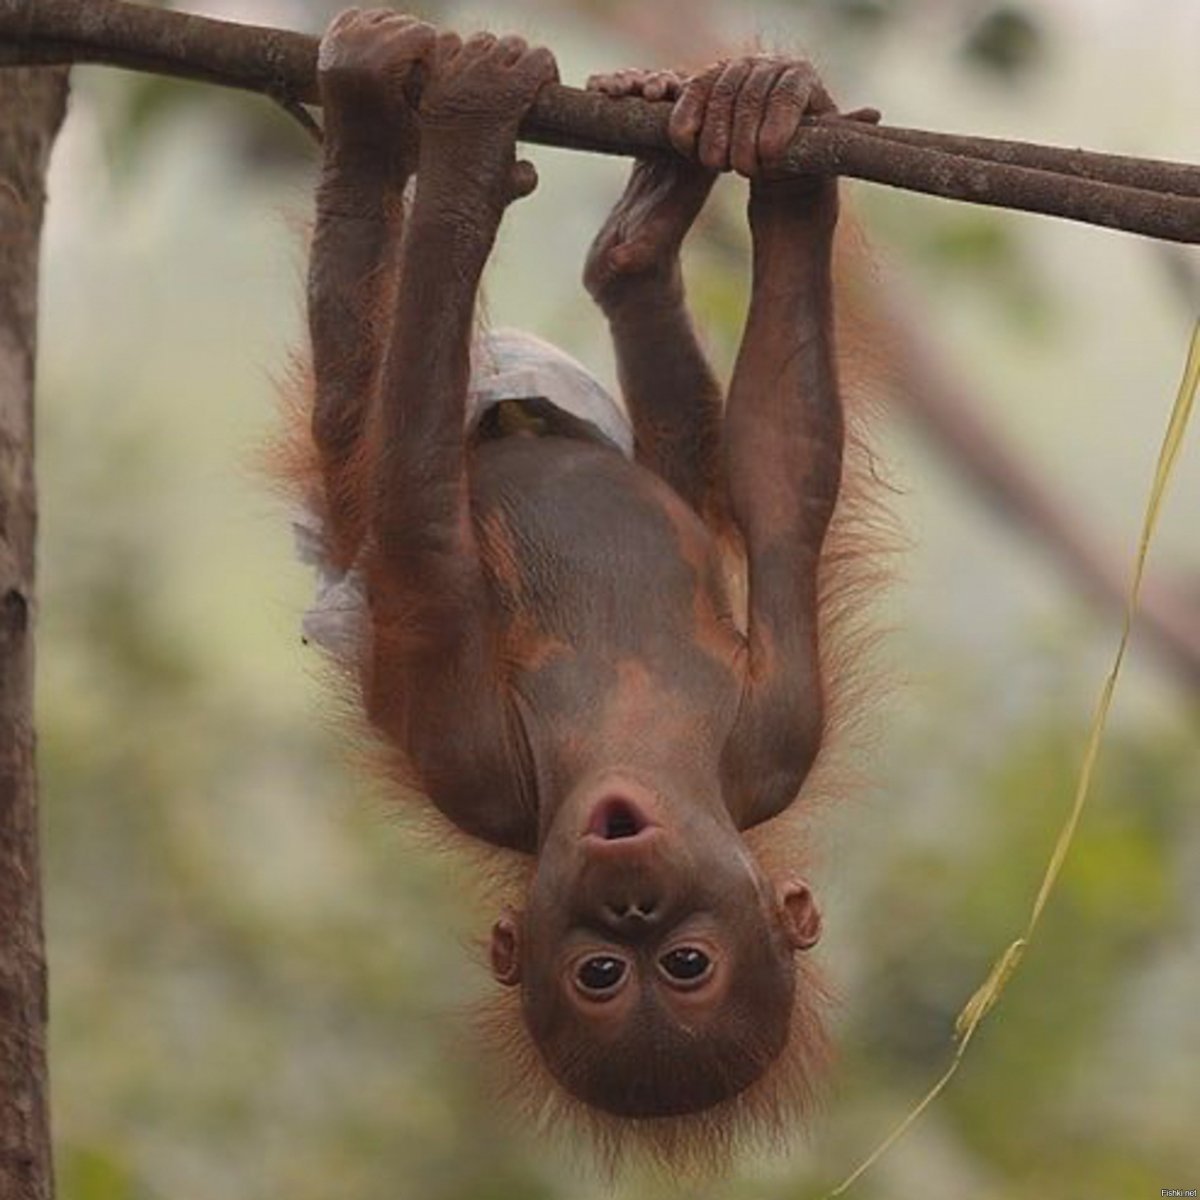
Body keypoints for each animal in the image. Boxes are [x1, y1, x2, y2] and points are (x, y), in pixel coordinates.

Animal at [281, 7, 863, 1170]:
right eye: (605, 970)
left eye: (676, 967)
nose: (629, 896)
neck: (629, 742)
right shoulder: (776, 739)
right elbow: (779, 488)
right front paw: (787, 163)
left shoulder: (743, 743)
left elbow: (420, 514)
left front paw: (463, 136)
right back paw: (674, 180)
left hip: (349, 500)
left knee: (362, 393)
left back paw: (376, 134)